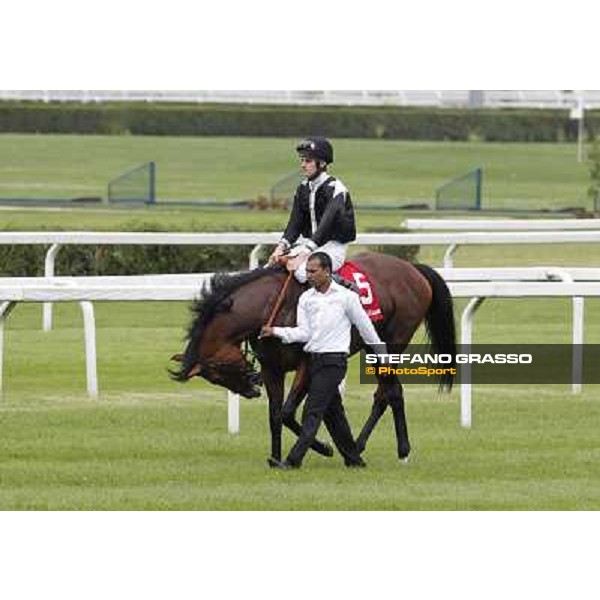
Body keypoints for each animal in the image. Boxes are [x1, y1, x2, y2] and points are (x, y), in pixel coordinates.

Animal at [169, 252, 454, 464]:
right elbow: (276, 415)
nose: (251, 389)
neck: (270, 306)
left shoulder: (307, 363)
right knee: (386, 393)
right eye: (214, 379)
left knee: (390, 392)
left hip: (391, 342)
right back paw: (360, 446)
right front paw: (276, 457)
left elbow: (288, 412)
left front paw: (323, 447)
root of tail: (413, 268)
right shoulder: (272, 368)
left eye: (218, 371)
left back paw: (399, 450)